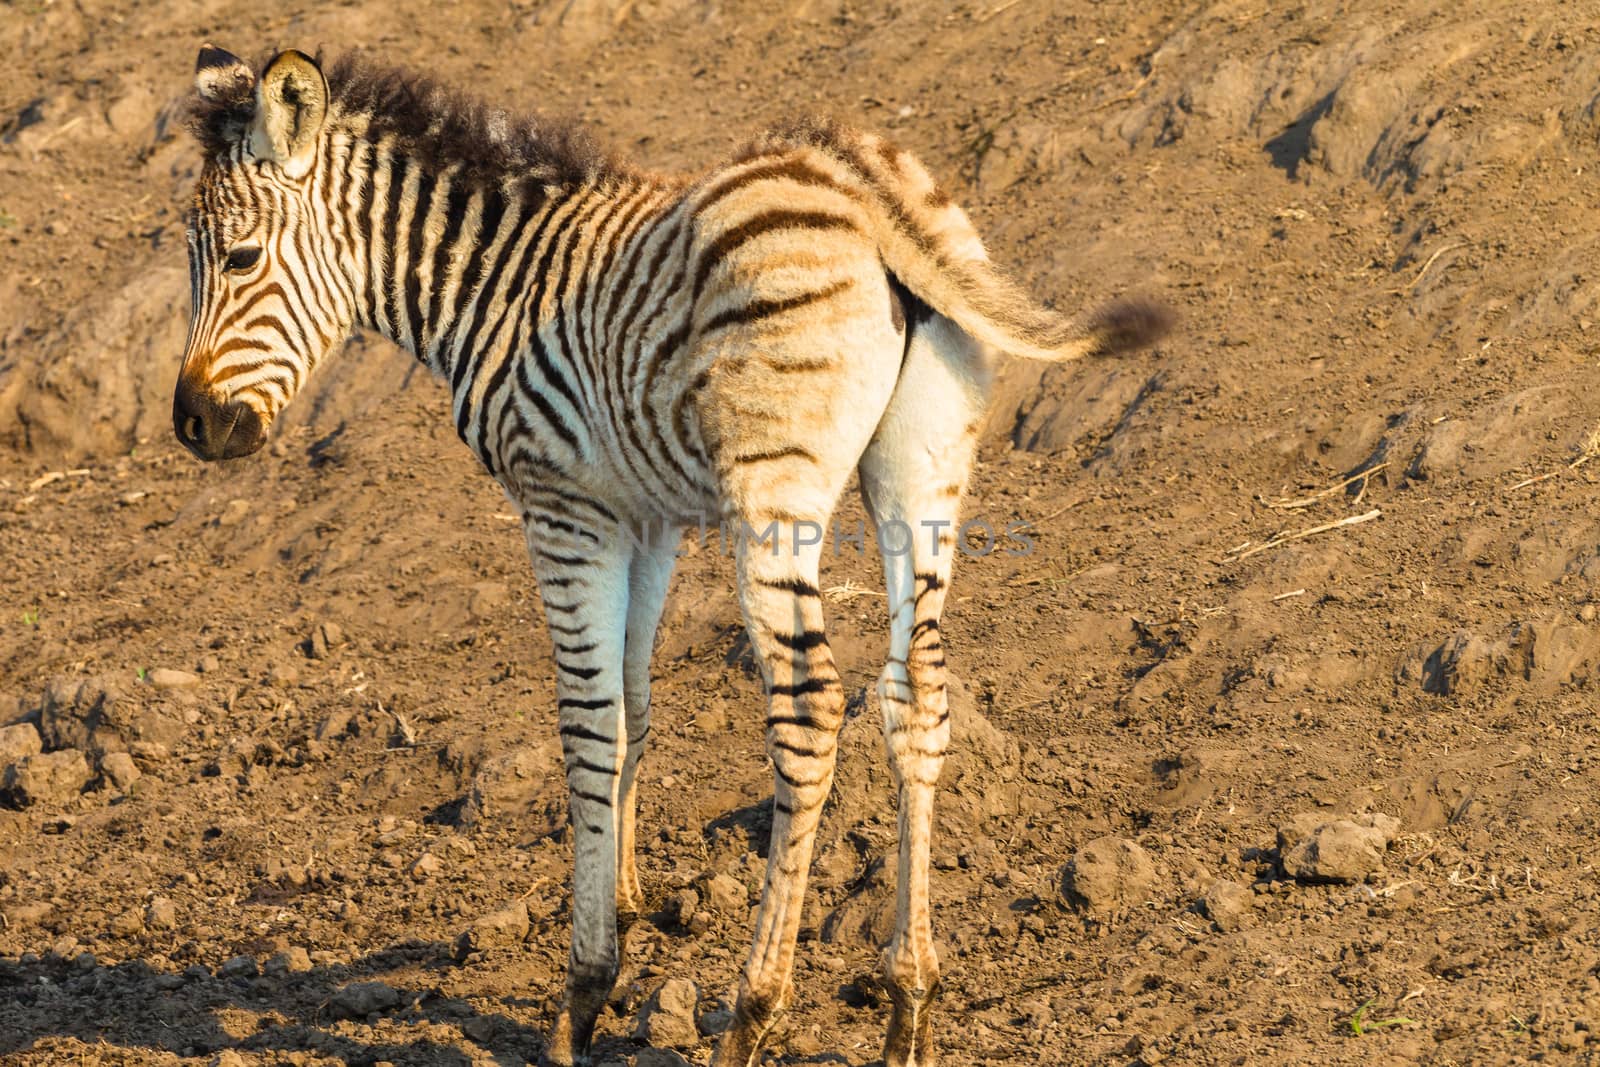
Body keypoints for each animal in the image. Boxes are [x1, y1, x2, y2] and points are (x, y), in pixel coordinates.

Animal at [175, 45, 1171, 1062]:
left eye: (242, 258)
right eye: (192, 259)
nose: (192, 426)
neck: (496, 286)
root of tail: (858, 183)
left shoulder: (564, 507)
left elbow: (586, 721)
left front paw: (585, 987)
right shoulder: (643, 517)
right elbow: (635, 705)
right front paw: (627, 904)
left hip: (772, 493)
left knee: (810, 707)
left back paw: (754, 1007)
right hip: (922, 474)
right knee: (916, 690)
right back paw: (908, 1003)